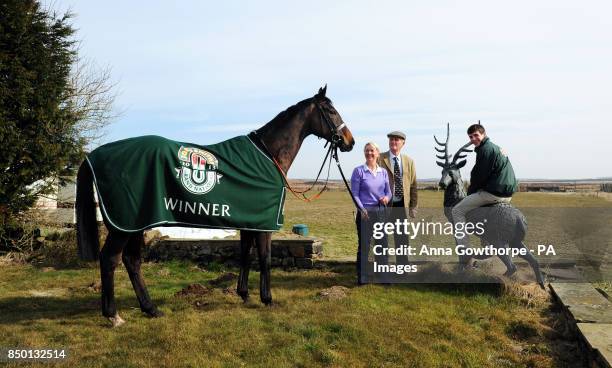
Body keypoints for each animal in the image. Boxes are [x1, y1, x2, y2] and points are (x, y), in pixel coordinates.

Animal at [76, 87, 354, 328]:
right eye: (330, 110)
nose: (349, 141)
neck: (268, 156)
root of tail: (95, 156)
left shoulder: (248, 221)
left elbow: (245, 255)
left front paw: (244, 294)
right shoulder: (264, 225)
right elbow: (264, 258)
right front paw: (267, 299)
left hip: (136, 223)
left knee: (132, 261)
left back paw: (151, 309)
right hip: (124, 225)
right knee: (110, 259)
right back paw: (113, 315)